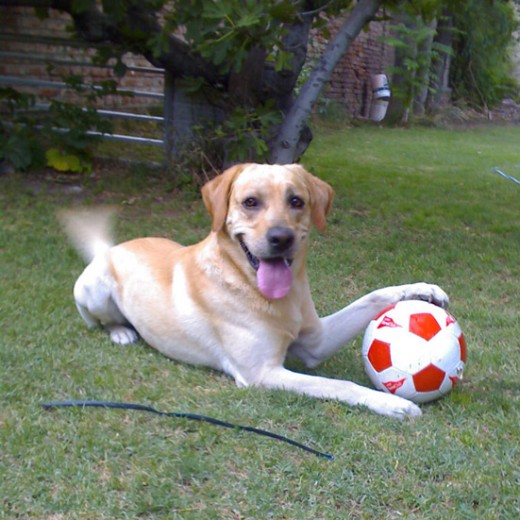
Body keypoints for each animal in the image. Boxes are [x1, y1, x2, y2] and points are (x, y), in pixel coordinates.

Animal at [64, 162, 446, 418]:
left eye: (296, 201)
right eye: (250, 202)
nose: (281, 238)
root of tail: (110, 248)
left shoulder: (315, 342)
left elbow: (374, 295)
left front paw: (422, 290)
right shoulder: (262, 373)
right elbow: (337, 385)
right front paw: (392, 401)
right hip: (95, 292)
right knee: (98, 320)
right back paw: (120, 332)